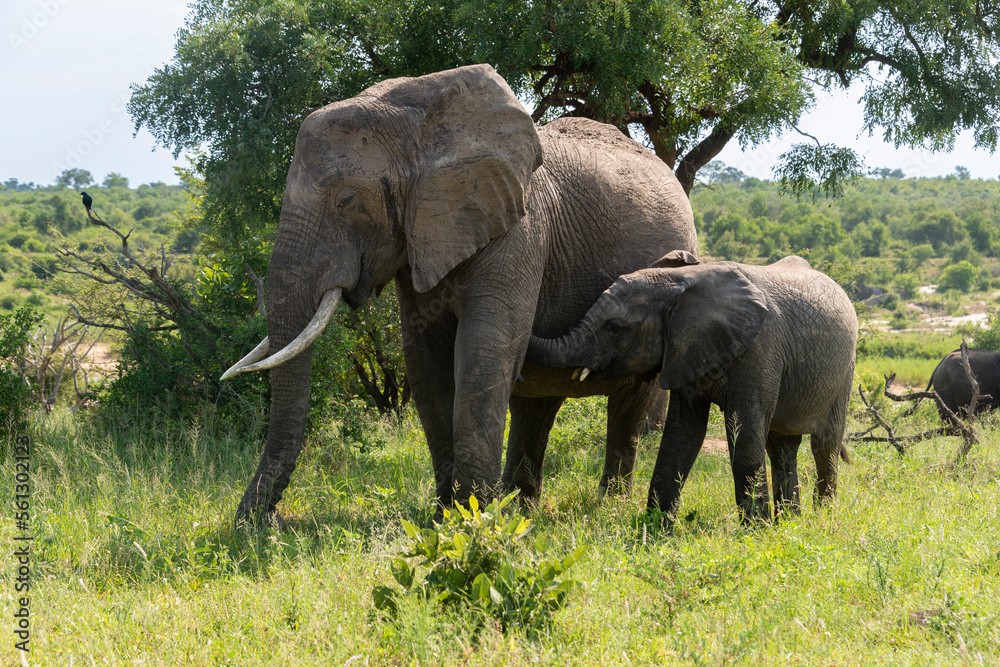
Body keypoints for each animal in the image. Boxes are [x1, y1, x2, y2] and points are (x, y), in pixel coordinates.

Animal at [221, 64, 698, 526]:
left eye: (347, 199)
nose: (264, 525)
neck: (420, 125)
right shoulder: (419, 242)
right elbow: (427, 368)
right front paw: (445, 519)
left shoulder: (520, 230)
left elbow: (484, 352)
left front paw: (473, 520)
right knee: (535, 407)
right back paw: (522, 510)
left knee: (627, 406)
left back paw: (605, 509)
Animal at [527, 254, 858, 523]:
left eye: (615, 328)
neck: (682, 282)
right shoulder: (685, 352)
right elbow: (683, 433)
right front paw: (656, 527)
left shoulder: (760, 350)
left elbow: (745, 436)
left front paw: (756, 531)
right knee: (782, 446)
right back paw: (790, 522)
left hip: (845, 370)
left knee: (825, 445)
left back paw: (822, 517)